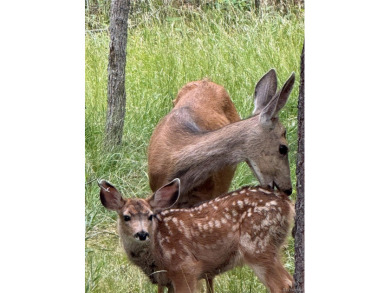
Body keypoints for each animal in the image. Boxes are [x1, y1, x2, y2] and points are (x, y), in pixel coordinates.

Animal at [99, 178, 294, 292]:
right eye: (126, 217)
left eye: (150, 216)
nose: (141, 233)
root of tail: (286, 203)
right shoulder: (166, 280)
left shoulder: (184, 267)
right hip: (271, 246)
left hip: (256, 244)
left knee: (283, 284)